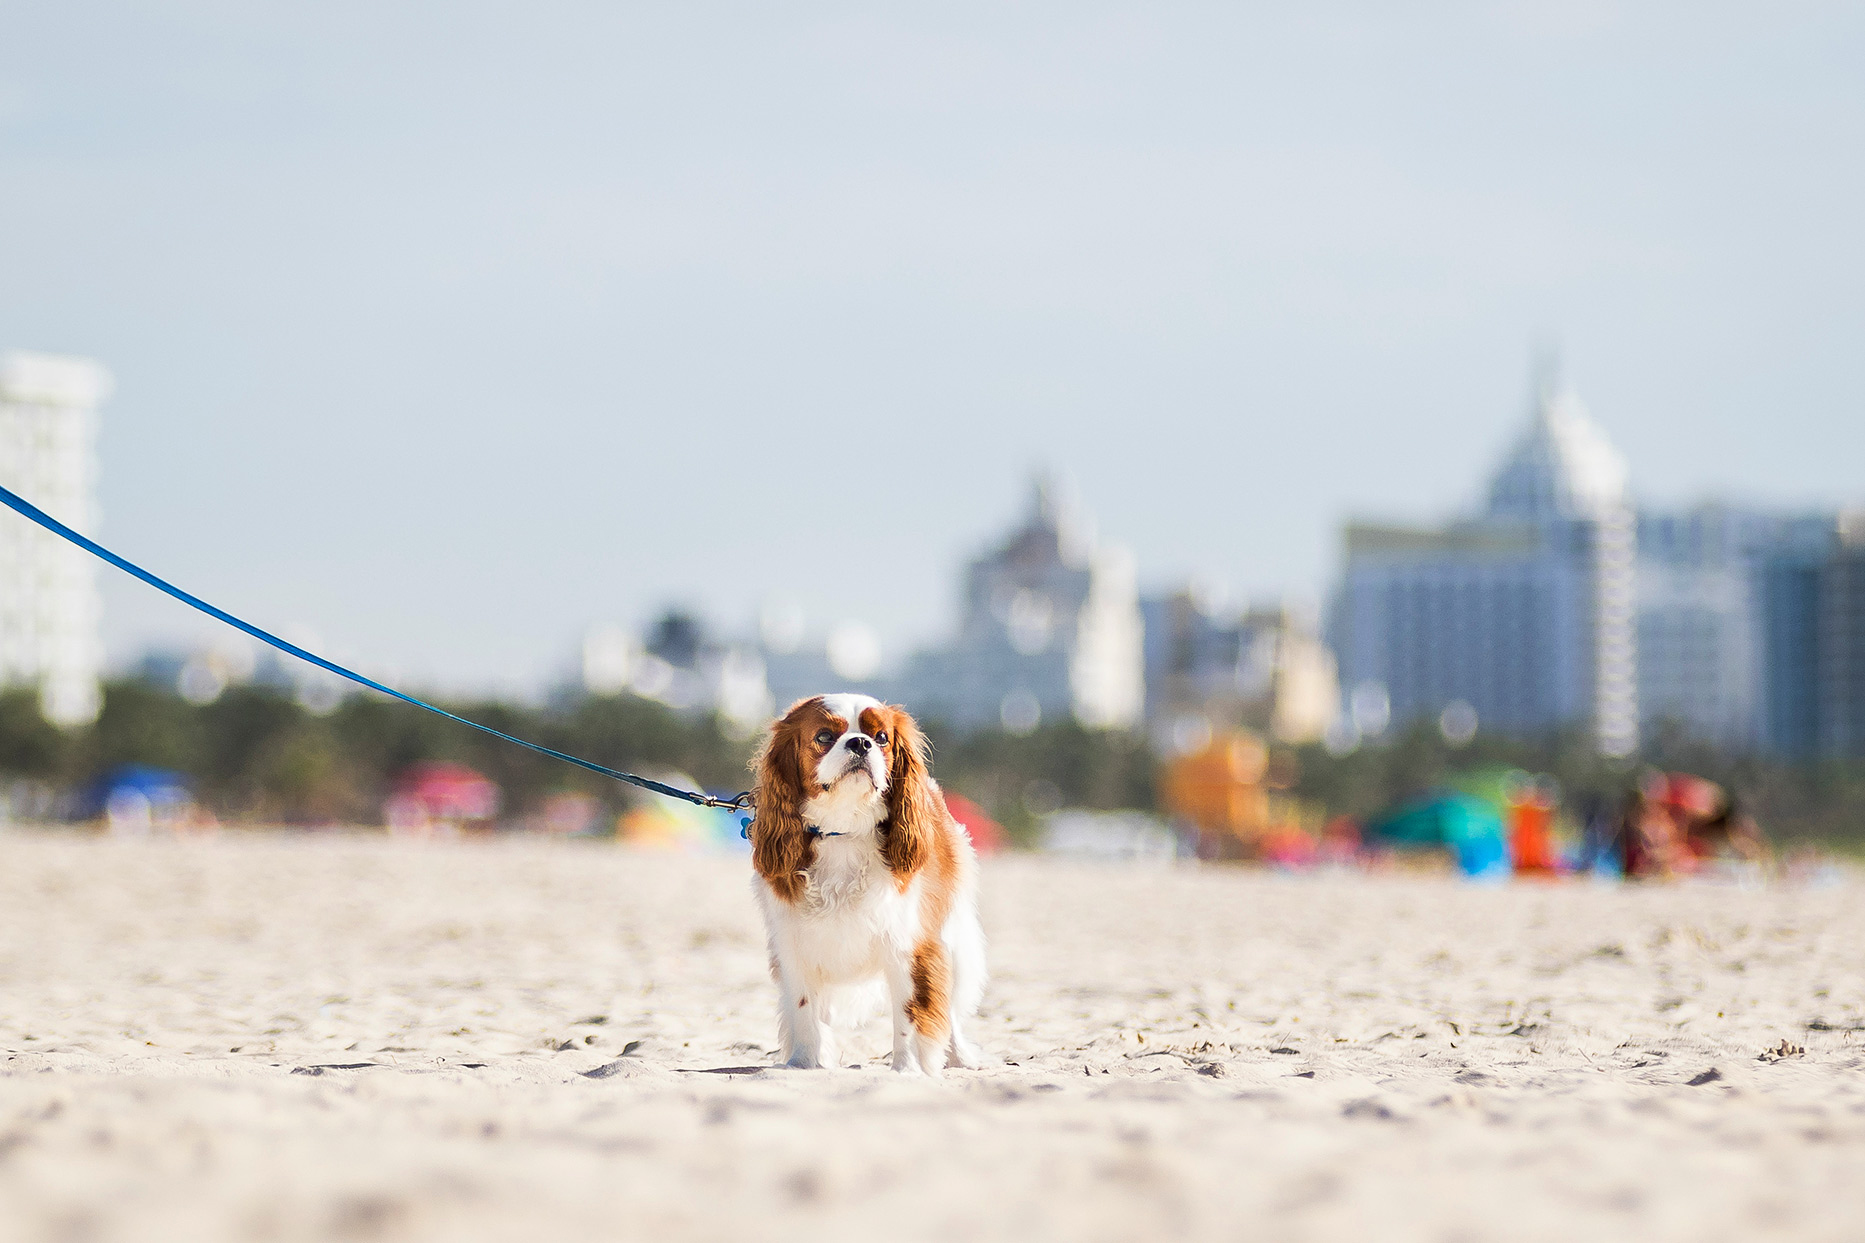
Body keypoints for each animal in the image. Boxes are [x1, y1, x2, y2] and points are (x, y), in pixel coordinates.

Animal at [746, 690, 992, 1067]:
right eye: (824, 737)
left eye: (881, 738)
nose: (861, 743)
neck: (842, 831)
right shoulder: (794, 946)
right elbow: (804, 1011)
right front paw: (803, 1064)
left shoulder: (911, 945)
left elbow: (911, 1015)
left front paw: (908, 1069)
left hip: (950, 937)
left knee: (948, 1009)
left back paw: (960, 1058)